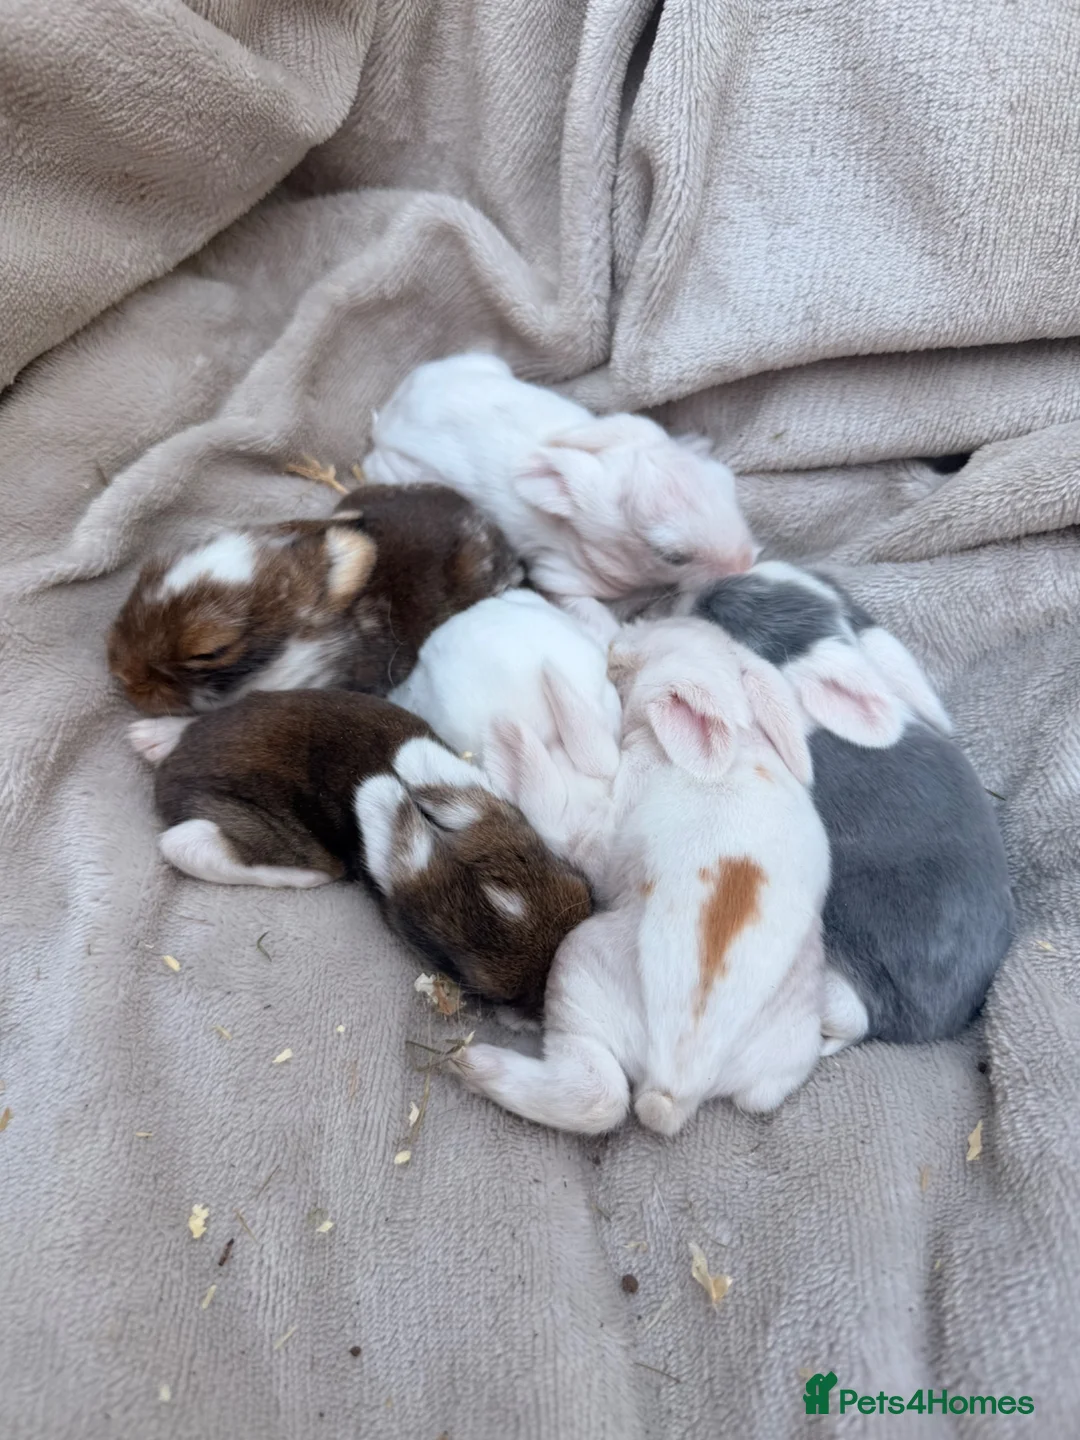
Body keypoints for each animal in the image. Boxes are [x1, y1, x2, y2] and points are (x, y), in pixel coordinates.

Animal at [129, 691, 592, 1015]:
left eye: (584, 892)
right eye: (496, 994)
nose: (540, 1005)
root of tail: (169, 777)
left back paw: (150, 737)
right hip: (264, 829)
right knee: (183, 845)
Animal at [362, 352, 757, 601]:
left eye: (728, 484)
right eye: (672, 557)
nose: (747, 564)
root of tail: (391, 417)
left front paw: (696, 442)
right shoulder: (558, 573)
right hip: (394, 469)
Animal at [450, 617, 829, 1136]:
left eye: (640, 655)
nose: (623, 635)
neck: (739, 739)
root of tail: (677, 1085)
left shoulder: (605, 826)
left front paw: (548, 693)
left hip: (576, 973)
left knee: (597, 1096)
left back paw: (474, 1064)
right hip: (786, 1053)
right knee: (759, 1098)